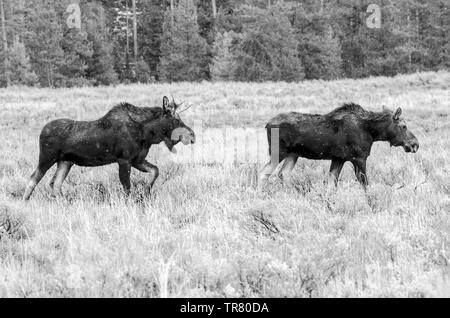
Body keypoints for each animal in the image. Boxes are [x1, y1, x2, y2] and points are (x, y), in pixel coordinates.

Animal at [22, 97, 195, 200]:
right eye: (176, 120)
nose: (192, 135)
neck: (147, 134)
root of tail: (42, 131)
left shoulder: (137, 160)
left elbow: (155, 171)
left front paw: (145, 192)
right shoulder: (124, 160)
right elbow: (127, 187)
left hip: (66, 162)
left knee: (55, 183)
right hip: (47, 157)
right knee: (33, 179)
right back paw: (25, 202)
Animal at [258, 103, 420, 190]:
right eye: (404, 126)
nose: (415, 144)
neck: (372, 133)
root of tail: (267, 124)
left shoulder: (338, 158)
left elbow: (331, 183)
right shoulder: (359, 158)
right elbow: (365, 185)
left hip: (293, 154)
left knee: (283, 174)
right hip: (278, 151)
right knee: (263, 173)